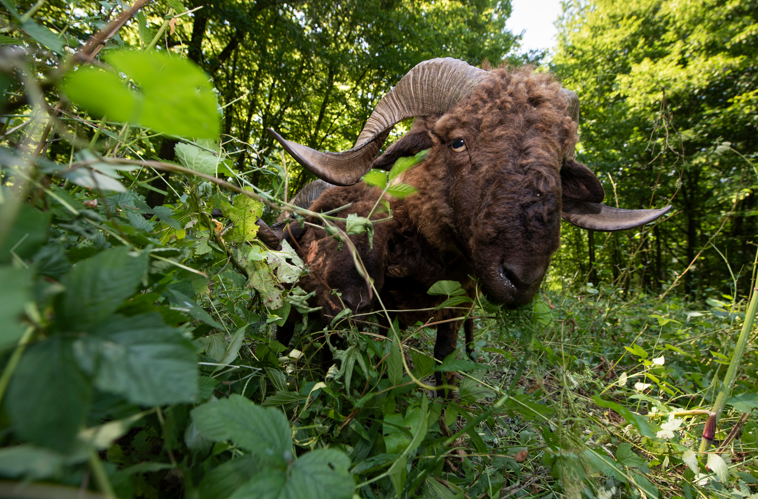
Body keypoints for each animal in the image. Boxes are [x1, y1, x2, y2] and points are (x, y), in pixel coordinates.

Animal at [262, 57, 672, 394]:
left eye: (559, 164)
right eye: (457, 142)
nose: (521, 279)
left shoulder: (454, 314)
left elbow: (444, 377)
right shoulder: (351, 308)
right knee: (291, 322)